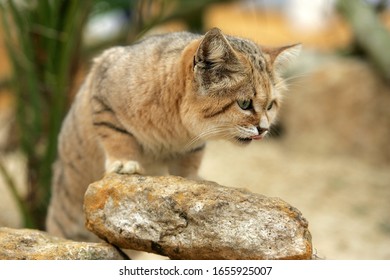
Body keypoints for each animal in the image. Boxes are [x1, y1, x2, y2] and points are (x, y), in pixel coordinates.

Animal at [46, 26, 302, 241]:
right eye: (245, 104)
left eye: (270, 106)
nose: (264, 129)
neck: (174, 124)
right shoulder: (103, 98)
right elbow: (117, 135)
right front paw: (124, 162)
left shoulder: (193, 143)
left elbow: (190, 160)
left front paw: (192, 177)